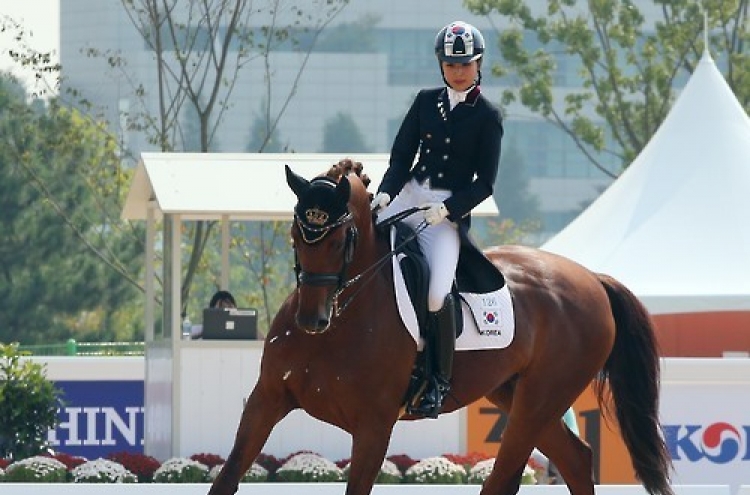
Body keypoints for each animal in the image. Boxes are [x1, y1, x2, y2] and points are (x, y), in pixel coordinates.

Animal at [210, 161, 676, 495]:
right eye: (295, 235)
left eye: (342, 240)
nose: (312, 320)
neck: (341, 321)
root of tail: (593, 279)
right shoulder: (267, 398)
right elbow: (227, 477)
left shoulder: (375, 425)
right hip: (515, 394)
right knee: (575, 459)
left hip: (543, 396)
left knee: (508, 475)